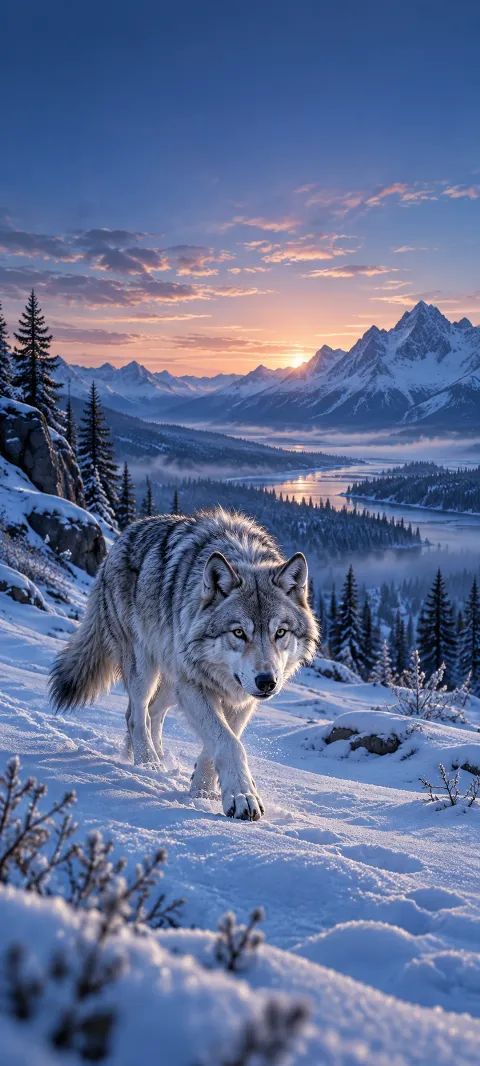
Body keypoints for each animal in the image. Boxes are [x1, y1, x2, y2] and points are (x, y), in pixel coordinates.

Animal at [49, 508, 318, 820]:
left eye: (280, 632)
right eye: (239, 632)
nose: (267, 682)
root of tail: (121, 539)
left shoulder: (240, 700)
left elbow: (222, 741)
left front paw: (202, 790)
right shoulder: (194, 684)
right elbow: (230, 743)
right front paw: (242, 797)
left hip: (171, 684)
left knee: (152, 713)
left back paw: (147, 759)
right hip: (145, 669)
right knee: (135, 714)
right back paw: (148, 763)